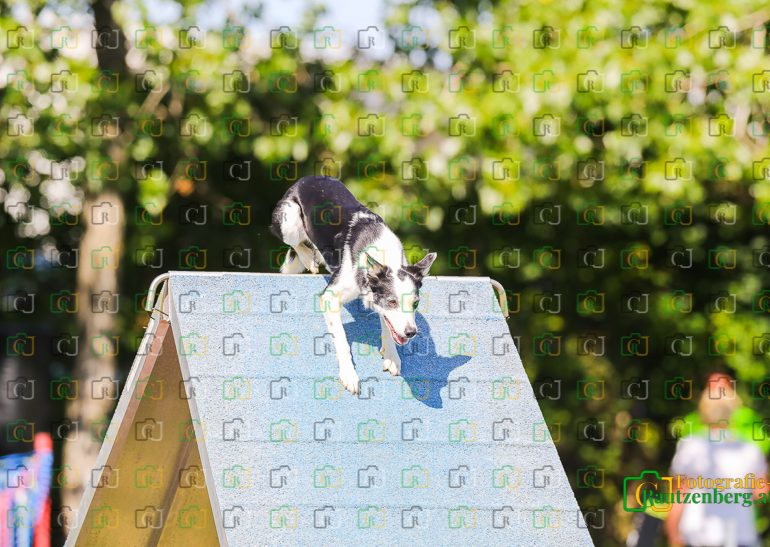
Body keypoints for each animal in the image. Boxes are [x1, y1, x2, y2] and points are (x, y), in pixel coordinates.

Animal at [270, 176, 436, 394]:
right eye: (392, 301)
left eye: (415, 304)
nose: (411, 332)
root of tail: (305, 179)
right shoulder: (330, 297)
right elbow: (341, 339)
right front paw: (349, 375)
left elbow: (388, 324)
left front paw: (391, 356)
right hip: (289, 221)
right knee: (294, 242)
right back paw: (308, 257)